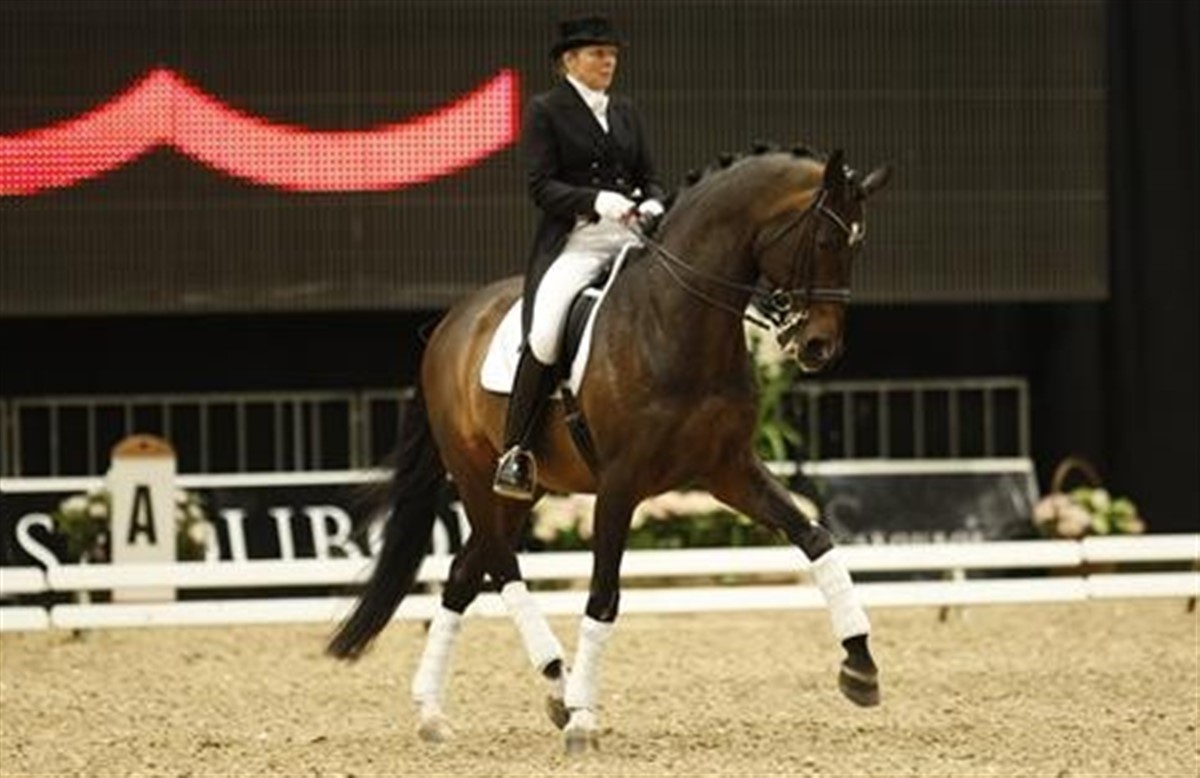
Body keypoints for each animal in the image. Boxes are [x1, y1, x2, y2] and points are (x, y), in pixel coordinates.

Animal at [327, 145, 892, 753]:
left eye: (858, 246)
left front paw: (860, 665)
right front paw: (584, 719)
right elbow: (603, 594)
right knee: (501, 566)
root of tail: (450, 323)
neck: (677, 322)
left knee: (463, 573)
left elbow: (815, 538)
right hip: (477, 474)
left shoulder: (729, 469)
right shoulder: (620, 483)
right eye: (827, 240)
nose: (819, 347)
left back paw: (440, 709)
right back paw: (557, 679)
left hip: (522, 491)